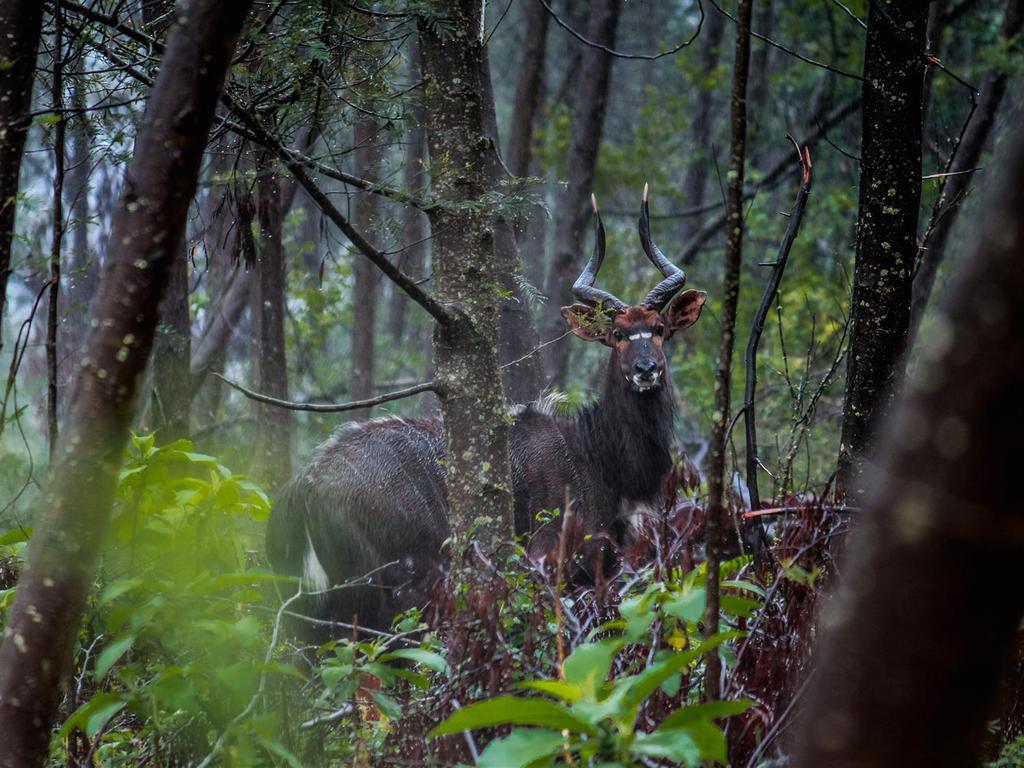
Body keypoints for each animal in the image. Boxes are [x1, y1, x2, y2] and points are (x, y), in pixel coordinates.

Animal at [268, 185, 708, 630]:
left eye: (659, 329)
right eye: (617, 334)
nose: (645, 370)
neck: (595, 456)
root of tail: (301, 489)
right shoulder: (552, 564)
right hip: (387, 595)